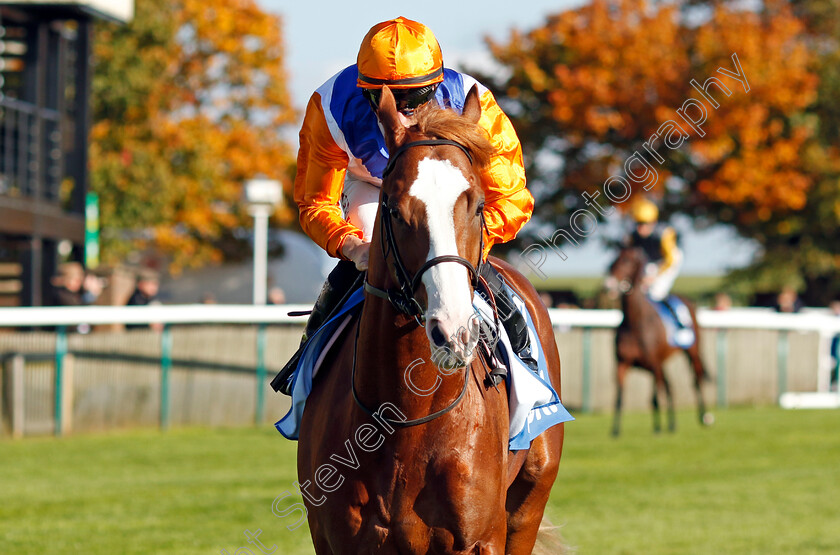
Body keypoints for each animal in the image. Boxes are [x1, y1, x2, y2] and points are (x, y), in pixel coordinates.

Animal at [296, 84, 564, 552]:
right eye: (393, 208)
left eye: (477, 205)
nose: (453, 330)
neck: (406, 420)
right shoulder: (334, 539)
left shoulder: (480, 538)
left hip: (529, 503)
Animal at [608, 245, 712, 436]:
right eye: (612, 260)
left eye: (626, 260)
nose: (609, 284)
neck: (635, 323)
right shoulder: (622, 363)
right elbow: (619, 397)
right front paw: (615, 430)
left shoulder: (654, 364)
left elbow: (654, 398)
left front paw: (657, 429)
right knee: (671, 387)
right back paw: (672, 424)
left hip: (692, 351)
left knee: (697, 379)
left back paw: (705, 417)